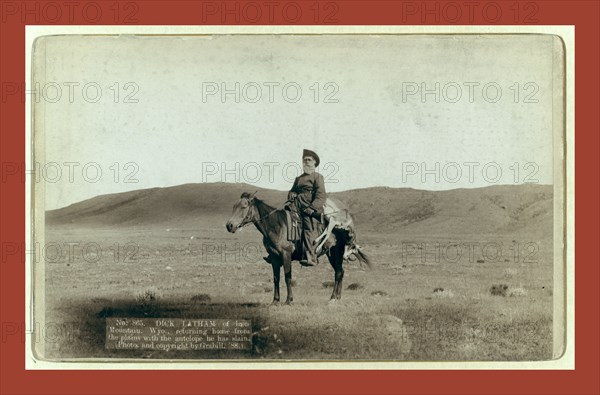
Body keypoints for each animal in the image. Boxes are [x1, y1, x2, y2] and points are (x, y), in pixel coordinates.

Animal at [224, 193, 370, 304]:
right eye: (233, 206)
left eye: (244, 206)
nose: (229, 225)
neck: (276, 225)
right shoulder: (275, 258)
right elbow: (276, 278)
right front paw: (275, 301)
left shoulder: (286, 255)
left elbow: (288, 277)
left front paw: (289, 300)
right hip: (332, 255)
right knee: (340, 272)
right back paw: (337, 297)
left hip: (336, 253)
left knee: (339, 272)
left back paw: (333, 297)